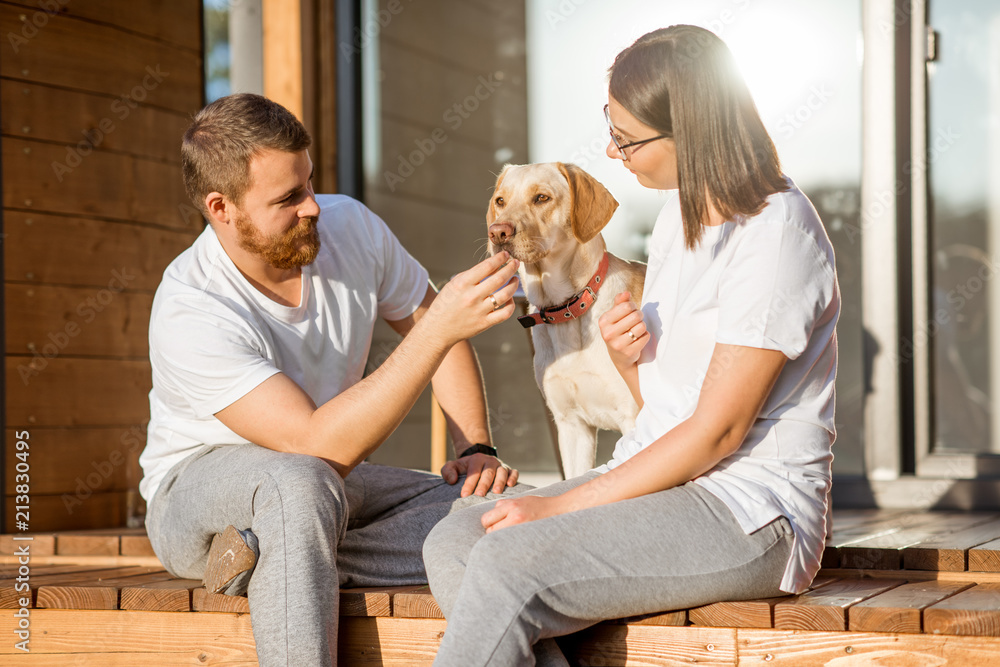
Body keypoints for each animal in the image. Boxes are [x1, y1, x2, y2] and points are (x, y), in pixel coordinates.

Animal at [486, 162, 648, 478]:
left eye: (542, 198)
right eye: (500, 201)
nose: (497, 232)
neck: (567, 310)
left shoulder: (632, 418)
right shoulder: (572, 427)